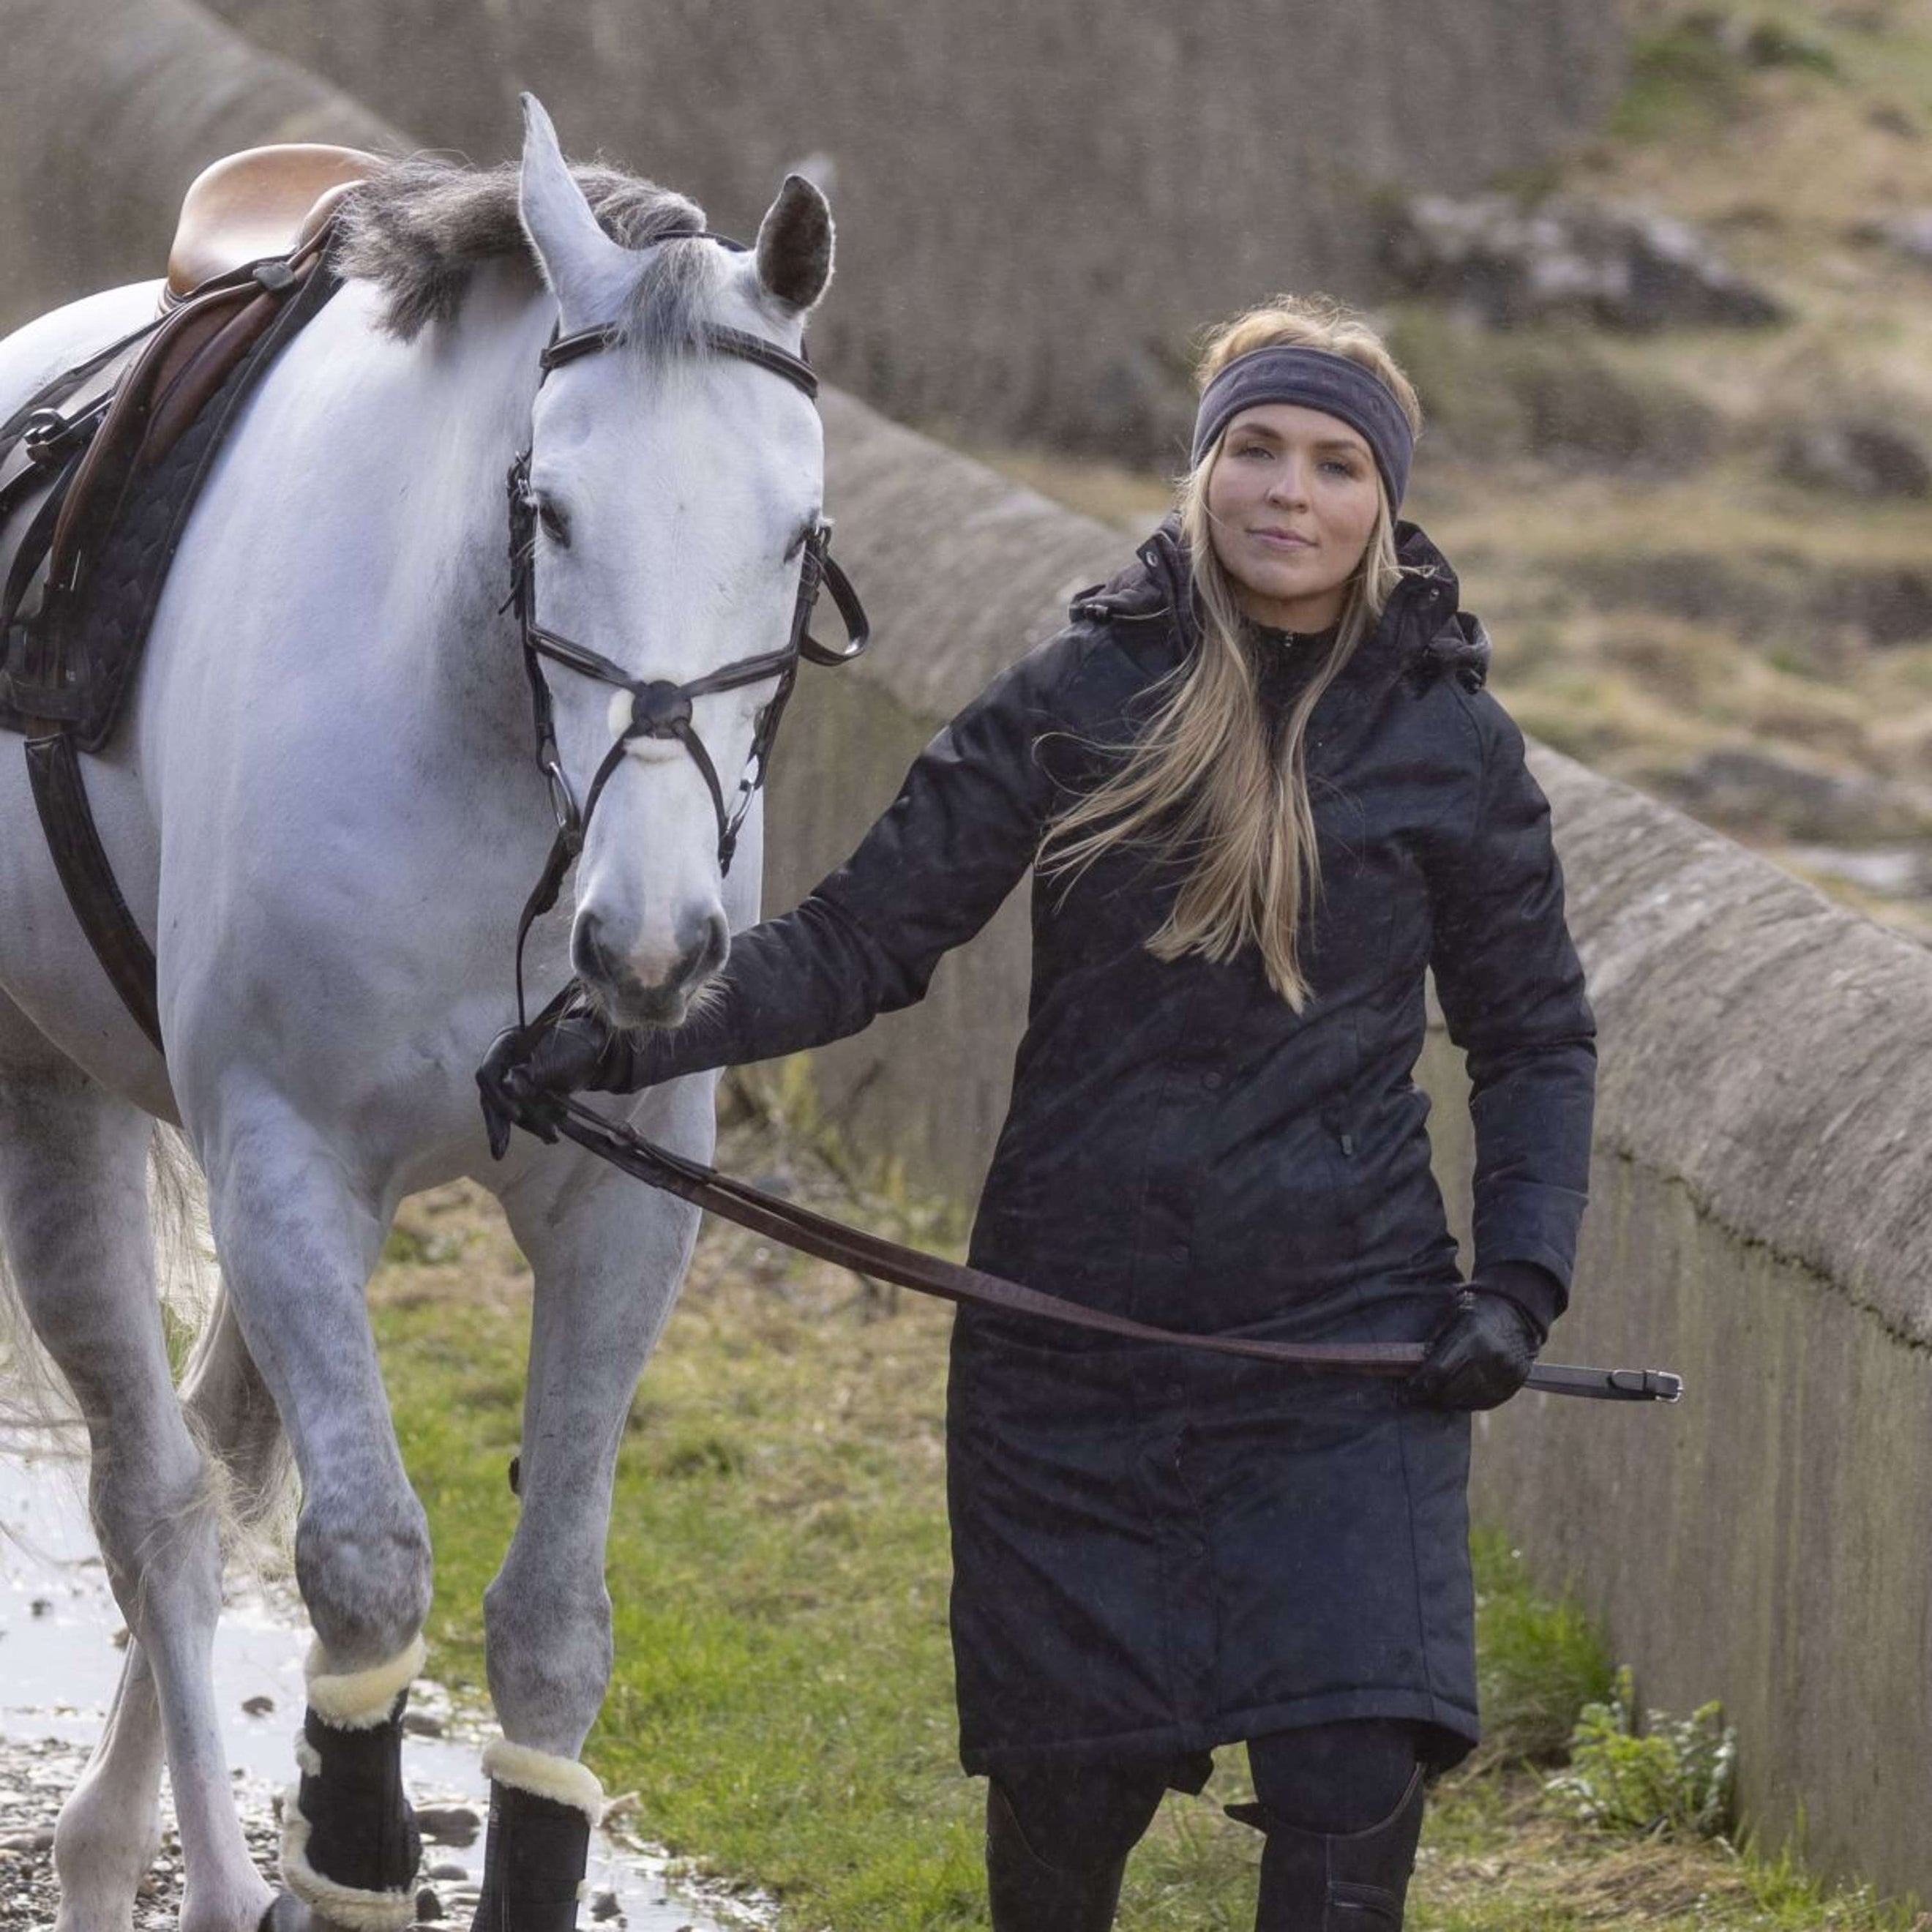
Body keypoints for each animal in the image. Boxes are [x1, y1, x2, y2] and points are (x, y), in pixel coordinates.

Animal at [0, 102, 826, 1932]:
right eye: (552, 508)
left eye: (799, 536)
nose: (650, 943)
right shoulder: (285, 1161)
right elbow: (364, 1572)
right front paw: (346, 1858)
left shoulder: (618, 1208)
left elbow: (553, 1622)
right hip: (46, 1093)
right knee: (159, 1503)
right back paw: (180, 1872)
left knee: (212, 1465)